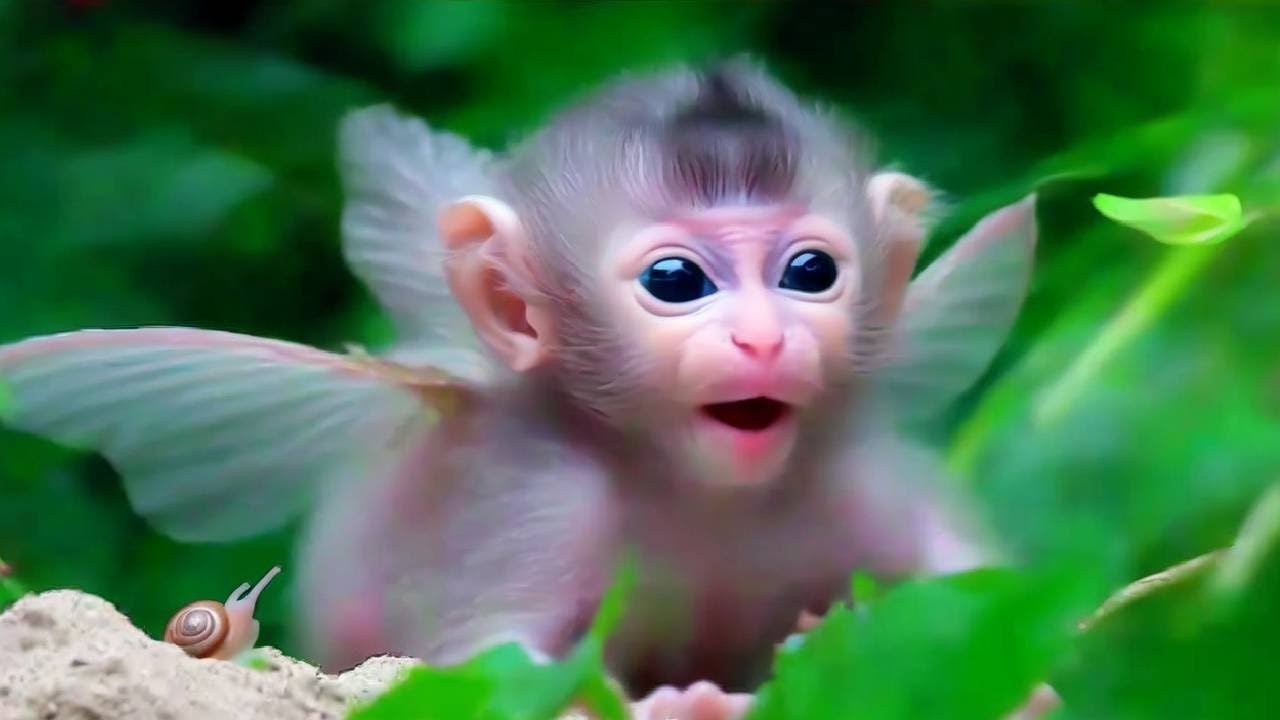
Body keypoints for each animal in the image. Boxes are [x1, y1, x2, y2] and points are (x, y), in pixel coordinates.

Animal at [0, 60, 1037, 719]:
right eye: (677, 282)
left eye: (810, 272)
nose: (764, 337)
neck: (697, 487)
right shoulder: (544, 500)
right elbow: (489, 666)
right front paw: (678, 710)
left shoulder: (844, 460)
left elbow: (984, 587)